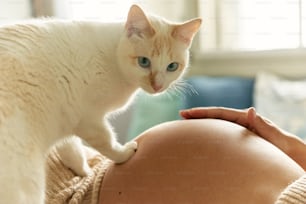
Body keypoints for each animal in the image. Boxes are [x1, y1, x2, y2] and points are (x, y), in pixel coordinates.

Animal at [0, 4, 201, 204]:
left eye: (172, 66)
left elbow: (71, 149)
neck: (113, 56)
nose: (157, 86)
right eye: (144, 62)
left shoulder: (67, 120)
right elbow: (107, 142)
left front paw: (83, 173)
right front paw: (124, 153)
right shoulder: (90, 119)